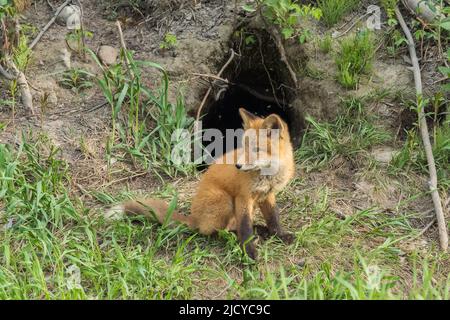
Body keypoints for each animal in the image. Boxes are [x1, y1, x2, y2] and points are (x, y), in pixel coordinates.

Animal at [105, 107, 296, 260]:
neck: (268, 176)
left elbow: (273, 218)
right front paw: (249, 252)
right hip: (225, 200)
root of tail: (193, 218)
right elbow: (245, 227)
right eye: (244, 146)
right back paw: (234, 236)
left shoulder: (267, 195)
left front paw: (280, 235)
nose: (238, 166)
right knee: (215, 231)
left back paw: (259, 230)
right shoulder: (243, 197)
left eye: (257, 149)